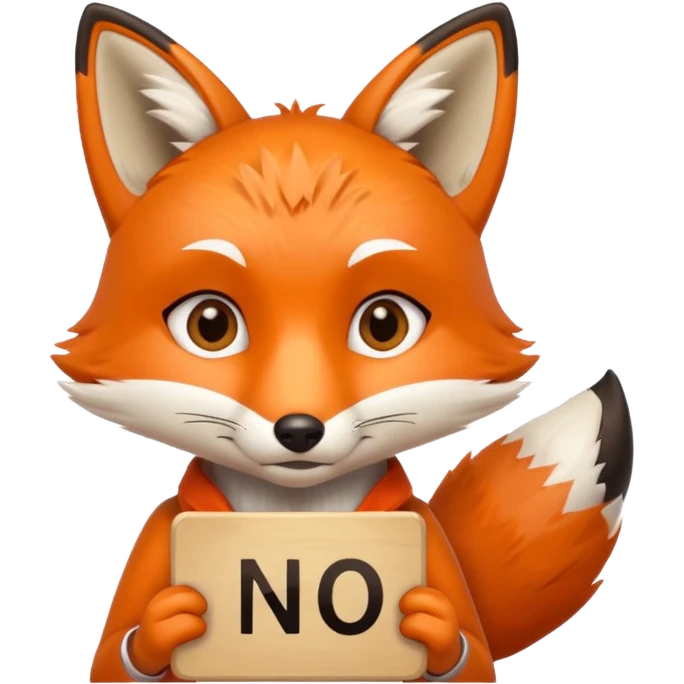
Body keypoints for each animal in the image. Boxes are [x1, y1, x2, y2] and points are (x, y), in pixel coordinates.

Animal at [58, 2, 635, 683]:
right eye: (210, 325)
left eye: (383, 325)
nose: (298, 431)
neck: (298, 514)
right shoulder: (157, 539)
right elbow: (117, 655)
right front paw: (162, 624)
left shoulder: (428, 542)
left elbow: (469, 650)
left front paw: (436, 627)